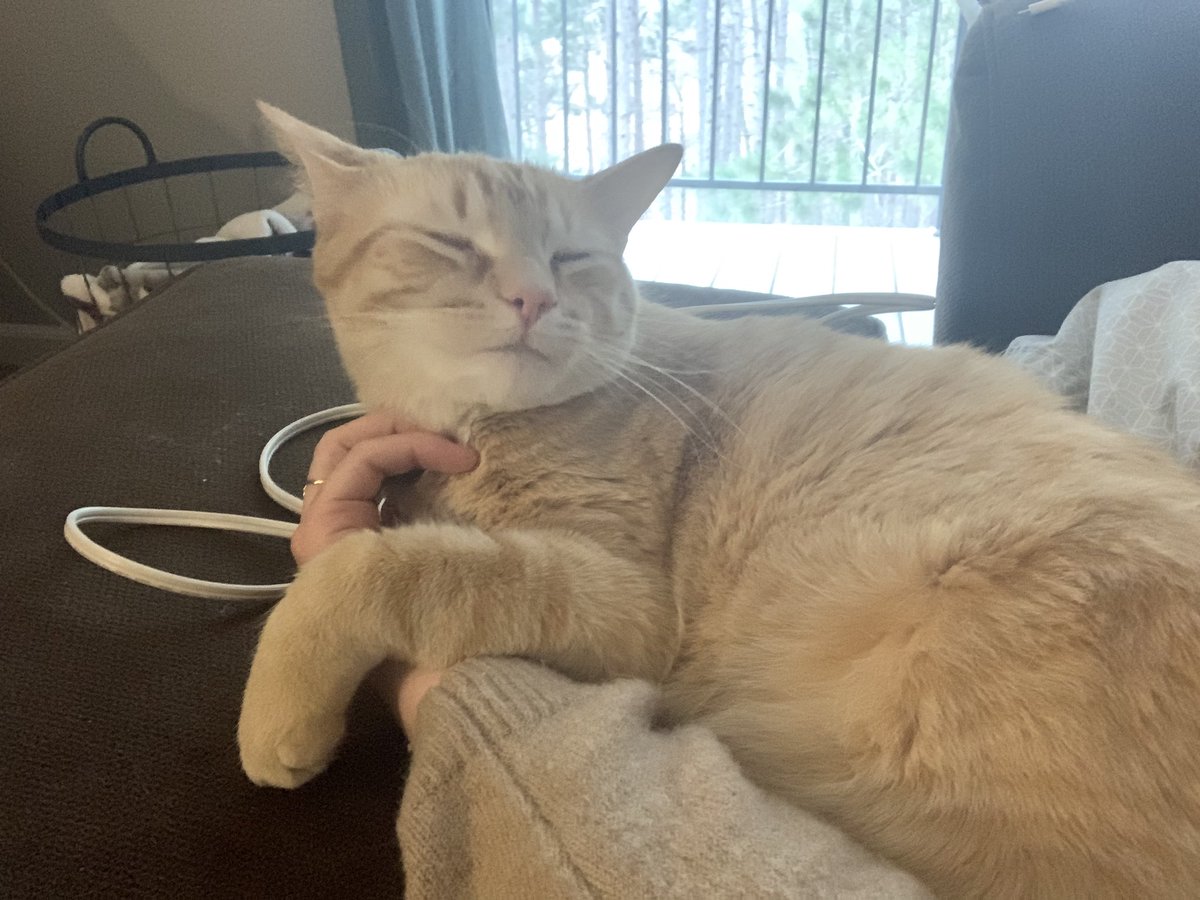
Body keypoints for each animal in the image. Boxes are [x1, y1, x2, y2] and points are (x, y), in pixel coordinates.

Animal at [238, 102, 1200, 897]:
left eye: (572, 259)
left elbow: (377, 569)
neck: (485, 435)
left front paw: (282, 701)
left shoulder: (622, 604)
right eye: (451, 244)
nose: (533, 297)